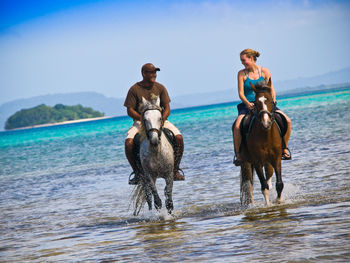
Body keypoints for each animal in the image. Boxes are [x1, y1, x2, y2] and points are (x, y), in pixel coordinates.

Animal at [239, 79, 284, 207]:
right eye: (256, 103)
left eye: (270, 101)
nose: (266, 123)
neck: (266, 135)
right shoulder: (257, 161)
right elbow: (264, 187)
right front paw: (268, 205)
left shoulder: (276, 158)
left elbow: (279, 184)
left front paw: (278, 201)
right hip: (247, 162)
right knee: (249, 184)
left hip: (268, 162)